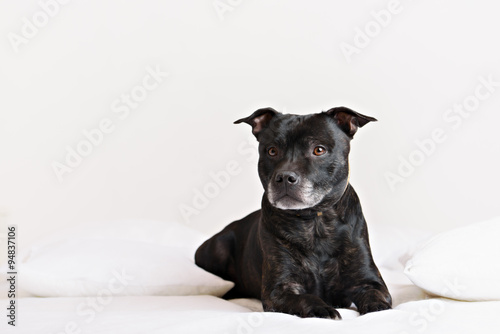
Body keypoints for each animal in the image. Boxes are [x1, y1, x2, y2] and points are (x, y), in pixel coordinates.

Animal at [194, 107, 390, 318]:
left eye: (319, 150)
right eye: (272, 151)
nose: (285, 177)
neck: (314, 222)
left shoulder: (369, 282)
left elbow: (375, 296)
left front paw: (378, 308)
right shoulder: (279, 289)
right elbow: (305, 298)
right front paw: (321, 308)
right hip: (219, 248)